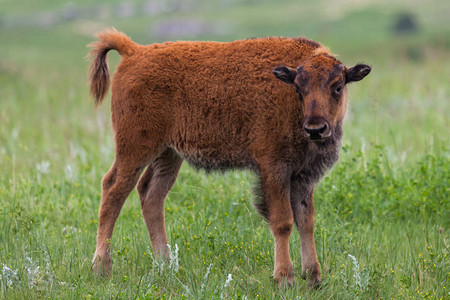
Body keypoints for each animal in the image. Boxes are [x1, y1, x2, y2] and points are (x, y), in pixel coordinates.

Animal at [87, 28, 370, 288]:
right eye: (300, 89)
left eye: (338, 87)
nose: (315, 129)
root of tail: (134, 52)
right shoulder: (274, 169)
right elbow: (283, 221)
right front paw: (284, 278)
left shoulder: (303, 176)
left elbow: (307, 221)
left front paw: (313, 278)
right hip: (135, 148)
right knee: (113, 190)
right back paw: (101, 268)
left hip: (168, 154)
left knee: (151, 195)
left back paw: (165, 266)